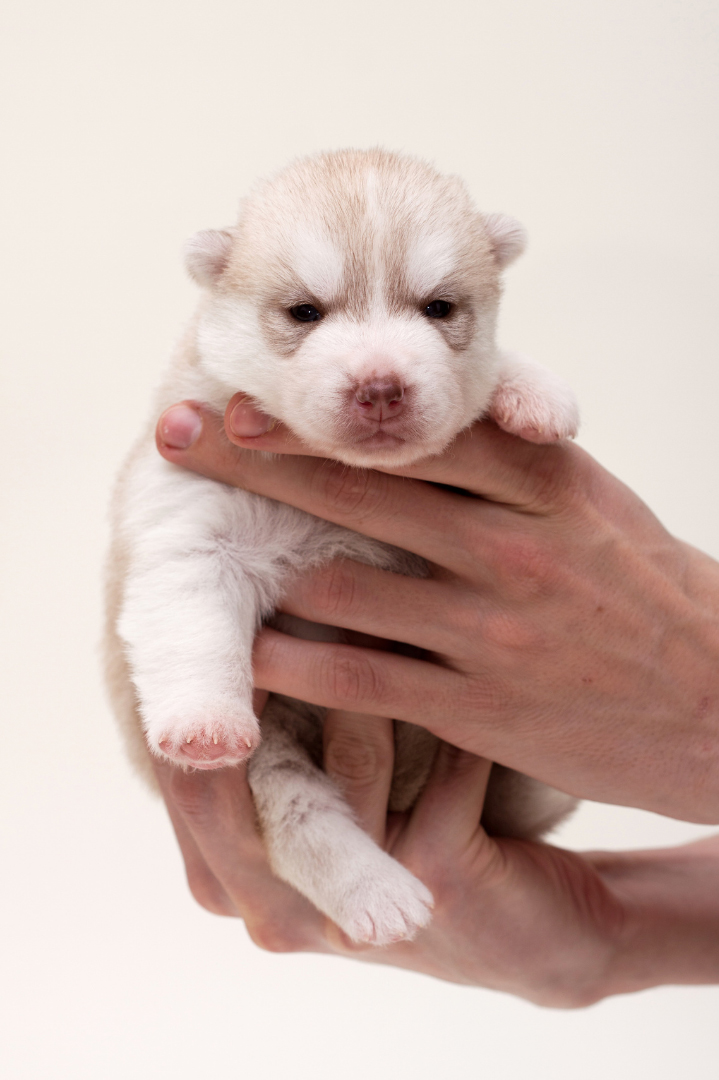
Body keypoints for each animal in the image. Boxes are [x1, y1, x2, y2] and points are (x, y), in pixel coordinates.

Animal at [105, 150, 578, 946]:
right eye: (305, 312)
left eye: (437, 309)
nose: (381, 387)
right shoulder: (189, 520)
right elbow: (192, 618)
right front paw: (203, 721)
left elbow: (486, 375)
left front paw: (531, 389)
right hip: (276, 759)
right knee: (304, 815)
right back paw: (377, 893)